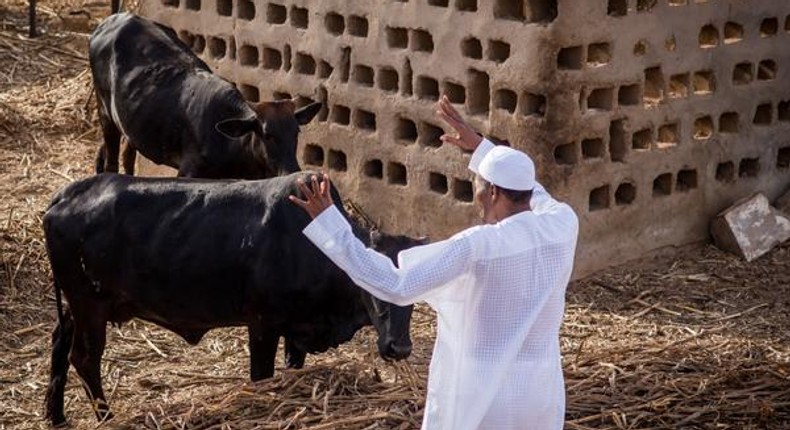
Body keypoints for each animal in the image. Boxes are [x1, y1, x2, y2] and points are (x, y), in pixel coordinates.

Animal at [44, 172, 424, 426]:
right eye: (374, 283)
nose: (399, 347)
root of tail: (66, 194)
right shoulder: (263, 325)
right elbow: (261, 377)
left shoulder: (297, 330)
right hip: (90, 305)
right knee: (84, 357)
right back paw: (106, 417)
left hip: (76, 307)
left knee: (60, 343)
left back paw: (55, 415)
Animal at [88, 12, 320, 178]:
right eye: (267, 134)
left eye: (296, 132)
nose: (292, 171)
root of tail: (112, 20)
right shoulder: (188, 171)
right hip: (105, 112)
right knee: (111, 162)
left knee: (127, 156)